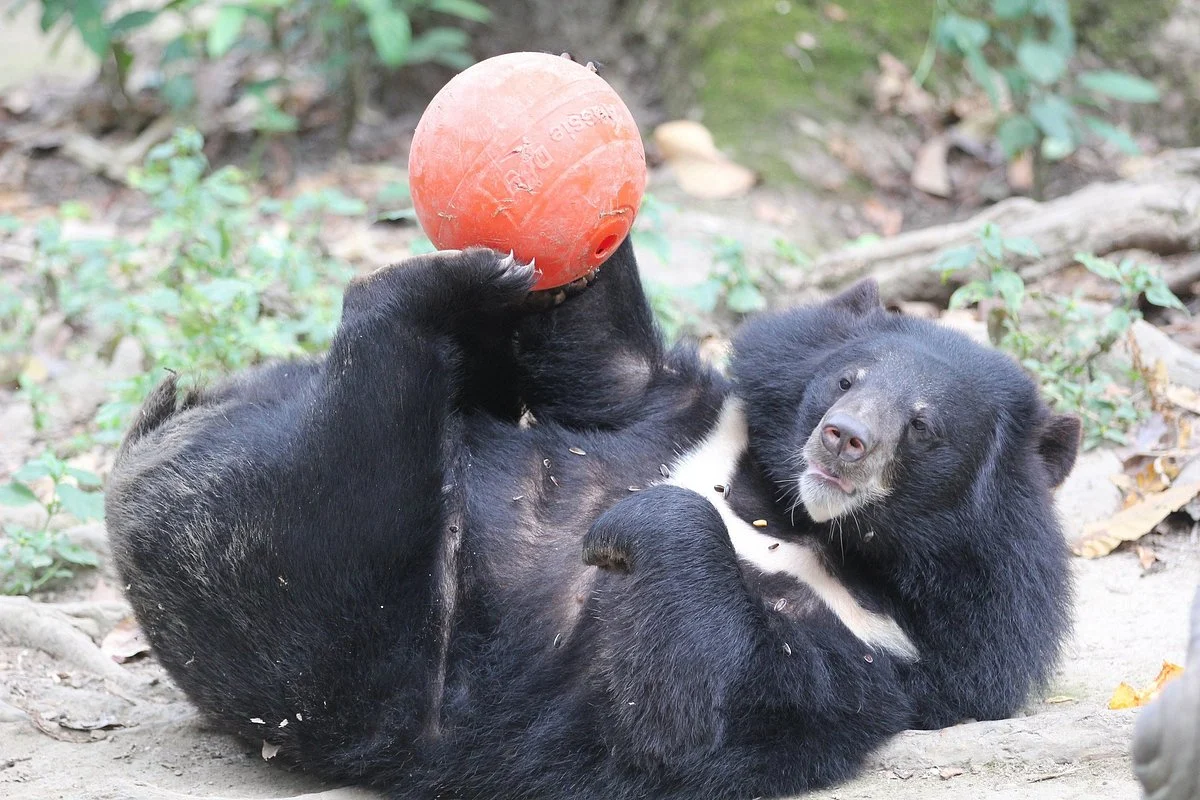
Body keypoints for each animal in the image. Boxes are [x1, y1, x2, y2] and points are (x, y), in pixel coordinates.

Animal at [104, 236, 1080, 799]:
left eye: (922, 429)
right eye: (846, 378)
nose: (841, 440)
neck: (798, 520)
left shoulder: (886, 654)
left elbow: (683, 716)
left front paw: (629, 530)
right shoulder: (692, 410)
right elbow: (606, 365)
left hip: (326, 577)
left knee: (363, 428)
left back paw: (417, 300)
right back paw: (466, 280)